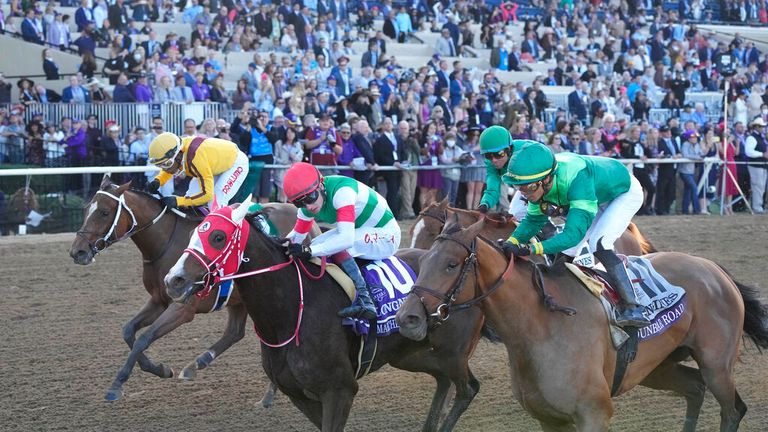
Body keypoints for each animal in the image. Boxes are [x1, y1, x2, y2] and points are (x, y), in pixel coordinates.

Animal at [66, 175, 306, 402]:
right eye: (86, 209)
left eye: (104, 212)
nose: (77, 252)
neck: (164, 243)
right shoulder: (159, 299)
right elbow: (128, 332)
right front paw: (159, 369)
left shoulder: (183, 307)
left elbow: (144, 338)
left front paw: (117, 384)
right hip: (241, 297)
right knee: (235, 332)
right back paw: (196, 365)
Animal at [164, 202, 486, 432]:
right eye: (194, 234)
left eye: (218, 237)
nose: (173, 280)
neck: (290, 313)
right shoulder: (300, 395)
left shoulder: (339, 390)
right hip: (412, 354)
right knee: (443, 381)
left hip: (452, 353)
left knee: (467, 388)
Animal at [396, 216, 768, 432]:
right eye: (424, 261)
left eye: (451, 264)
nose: (407, 318)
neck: (541, 327)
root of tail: (714, 268)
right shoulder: (549, 419)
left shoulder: (595, 413)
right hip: (658, 367)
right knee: (694, 388)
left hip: (716, 365)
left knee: (732, 409)